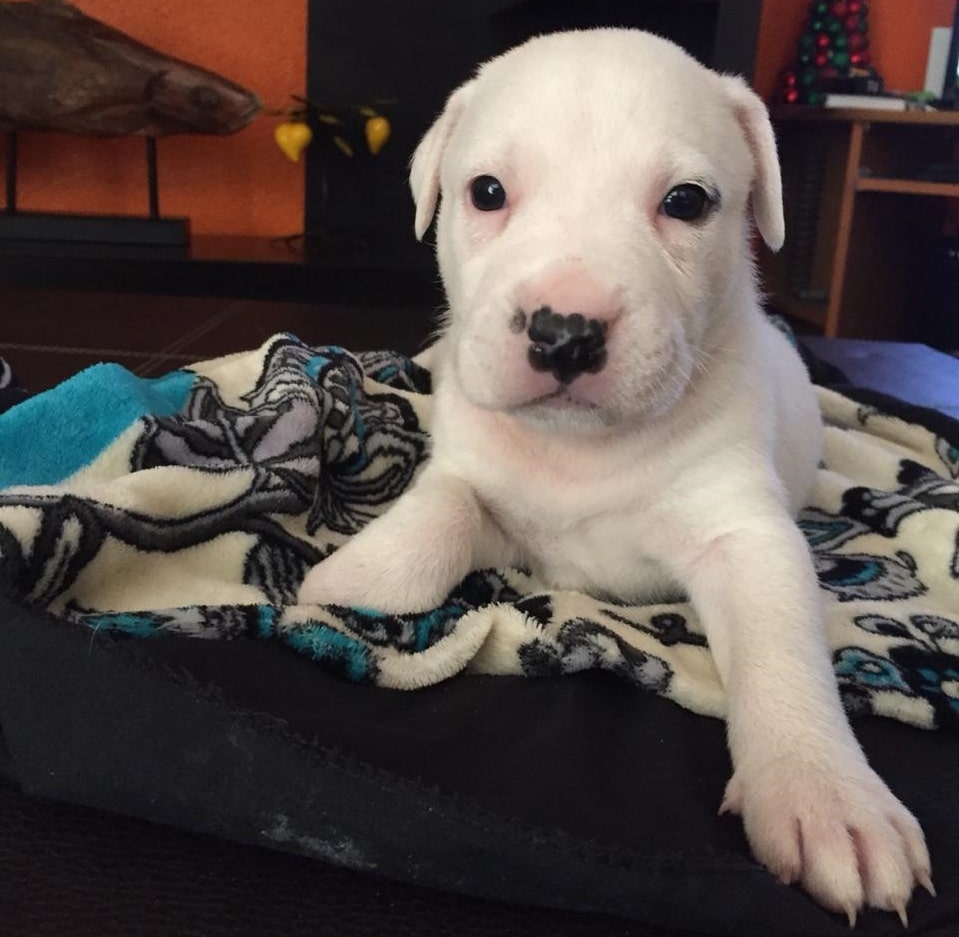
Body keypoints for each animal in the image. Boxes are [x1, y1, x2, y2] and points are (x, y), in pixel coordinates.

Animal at [298, 29, 932, 921]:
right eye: (485, 192)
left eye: (687, 202)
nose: (563, 332)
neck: (581, 450)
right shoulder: (471, 474)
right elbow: (435, 521)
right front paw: (343, 583)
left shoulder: (745, 535)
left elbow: (779, 650)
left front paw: (825, 797)